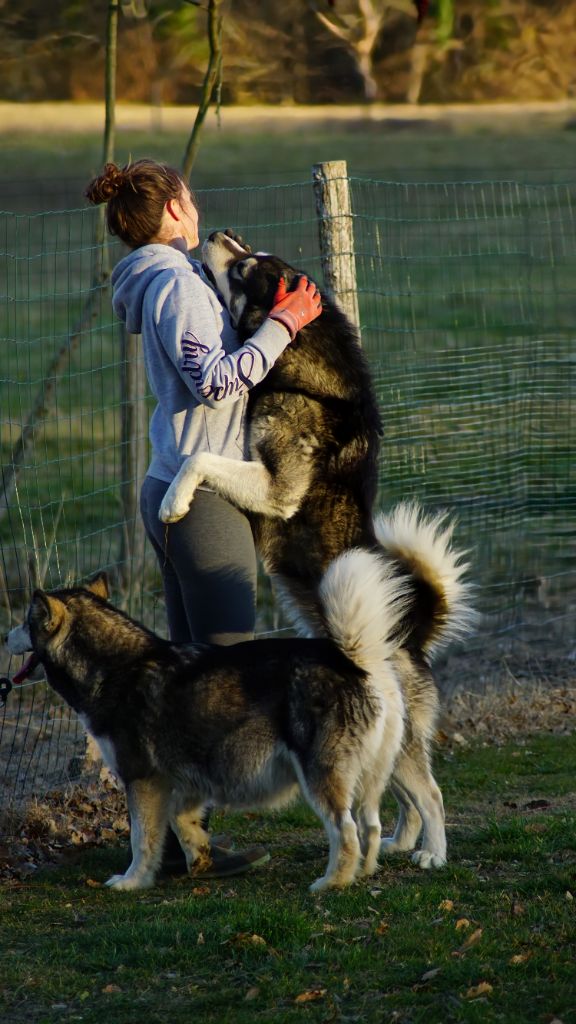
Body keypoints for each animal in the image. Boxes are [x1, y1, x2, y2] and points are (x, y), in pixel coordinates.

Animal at [7, 548, 407, 892]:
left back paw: (333, 881)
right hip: (369, 781)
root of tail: (353, 660)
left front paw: (133, 880)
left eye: (26, 622)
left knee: (346, 830)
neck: (117, 668)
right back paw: (364, 871)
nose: (6, 634)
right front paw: (199, 853)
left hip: (321, 776)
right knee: (371, 826)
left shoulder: (141, 778)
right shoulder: (183, 779)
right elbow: (180, 820)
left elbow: (141, 839)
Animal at [158, 234, 473, 872]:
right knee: (402, 793)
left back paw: (433, 853)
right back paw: (401, 842)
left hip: (396, 734)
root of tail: (415, 636)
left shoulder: (274, 488)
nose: (217, 235)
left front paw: (174, 501)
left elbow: (197, 458)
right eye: (245, 251)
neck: (297, 356)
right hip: (377, 736)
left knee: (430, 791)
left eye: (245, 267)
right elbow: (202, 456)